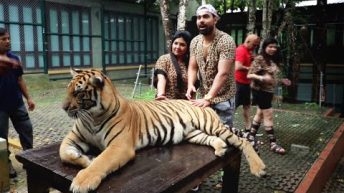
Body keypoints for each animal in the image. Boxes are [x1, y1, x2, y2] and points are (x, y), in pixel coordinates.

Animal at [59, 68, 266, 192]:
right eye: (67, 90)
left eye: (78, 92)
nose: (63, 107)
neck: (92, 116)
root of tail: (201, 103)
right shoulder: (74, 137)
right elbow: (63, 152)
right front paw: (85, 160)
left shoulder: (120, 146)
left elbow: (102, 162)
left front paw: (82, 181)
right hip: (194, 133)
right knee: (213, 139)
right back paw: (221, 148)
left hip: (211, 125)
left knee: (242, 141)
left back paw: (259, 168)